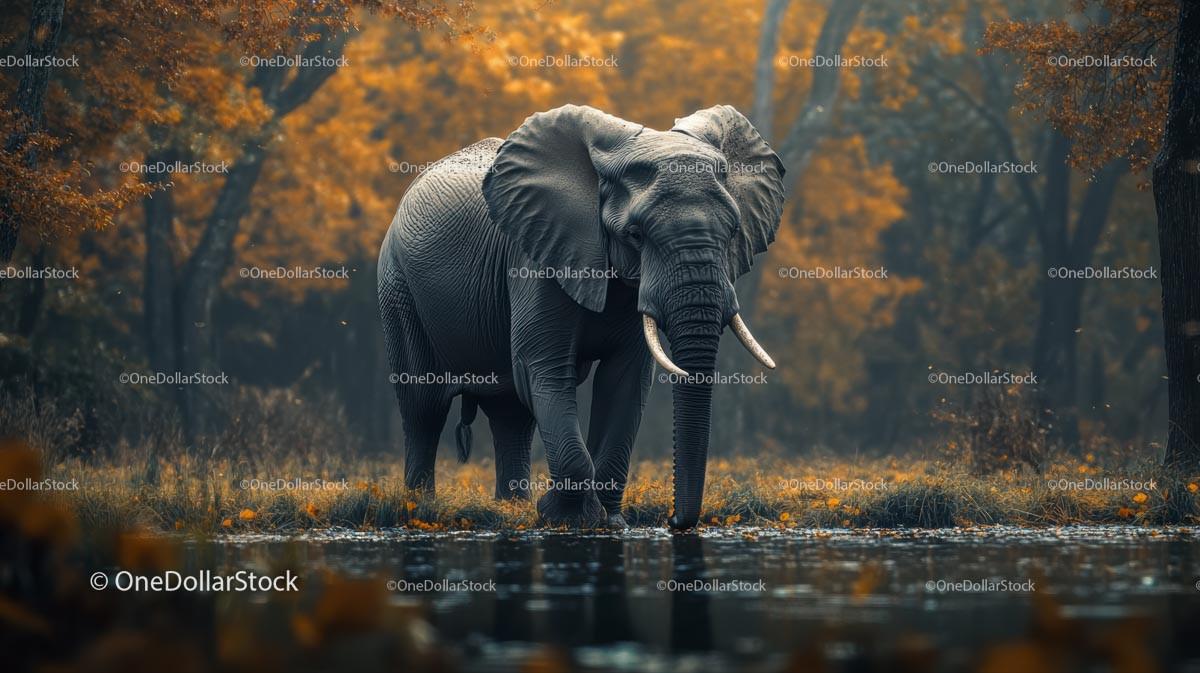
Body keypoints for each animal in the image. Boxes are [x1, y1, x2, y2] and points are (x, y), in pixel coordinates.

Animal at [377, 104, 785, 529]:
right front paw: (568, 520)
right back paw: (420, 509)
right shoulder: (536, 257)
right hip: (397, 284)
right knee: (423, 406)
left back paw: (511, 510)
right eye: (635, 235)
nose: (673, 521)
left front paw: (611, 522)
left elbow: (625, 380)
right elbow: (543, 366)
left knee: (510, 415)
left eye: (733, 230)